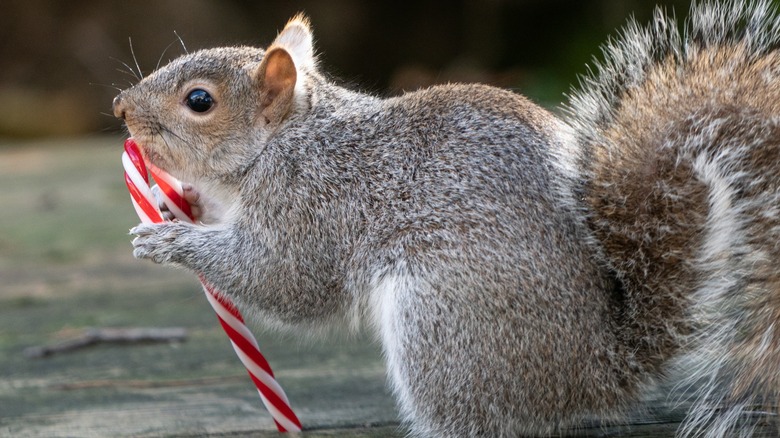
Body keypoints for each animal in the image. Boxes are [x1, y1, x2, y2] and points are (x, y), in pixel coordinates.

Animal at [112, 1, 780, 436]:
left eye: (200, 101)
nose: (119, 107)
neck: (284, 142)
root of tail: (598, 373)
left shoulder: (314, 205)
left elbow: (286, 282)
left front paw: (170, 241)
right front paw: (179, 207)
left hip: (443, 325)